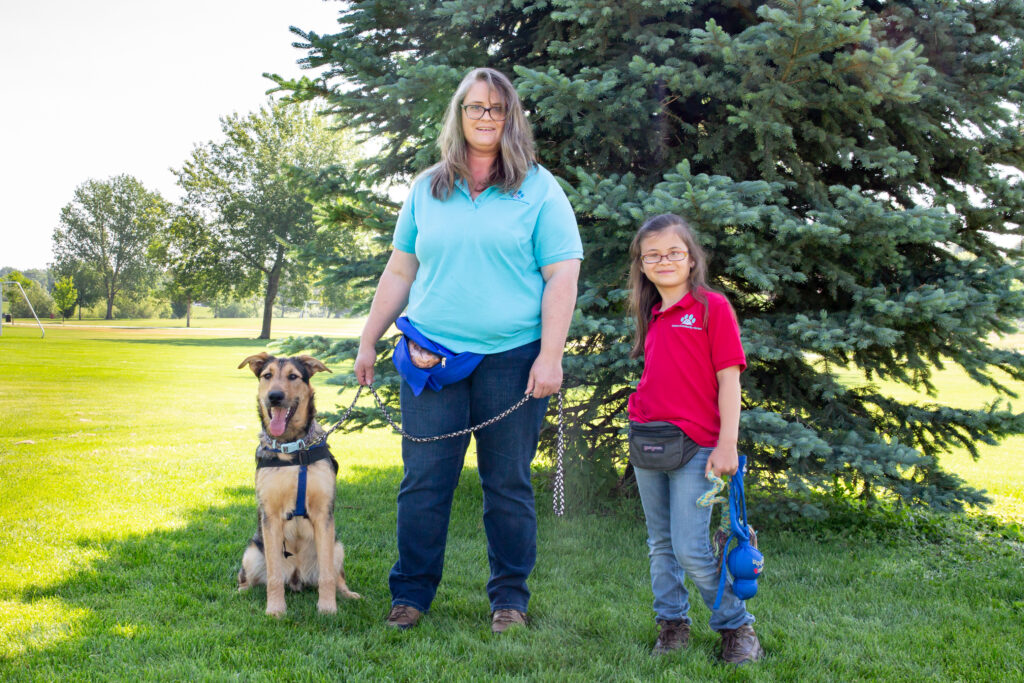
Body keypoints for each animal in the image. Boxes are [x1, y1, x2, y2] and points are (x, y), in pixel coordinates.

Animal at [235, 356, 360, 618]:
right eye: (267, 375)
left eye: (293, 376)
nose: (275, 396)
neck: (292, 448)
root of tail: (296, 577)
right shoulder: (271, 517)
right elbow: (273, 576)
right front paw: (275, 609)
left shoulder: (323, 515)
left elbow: (327, 576)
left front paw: (327, 608)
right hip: (252, 552)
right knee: (250, 579)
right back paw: (240, 592)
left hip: (337, 546)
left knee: (337, 576)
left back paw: (348, 594)